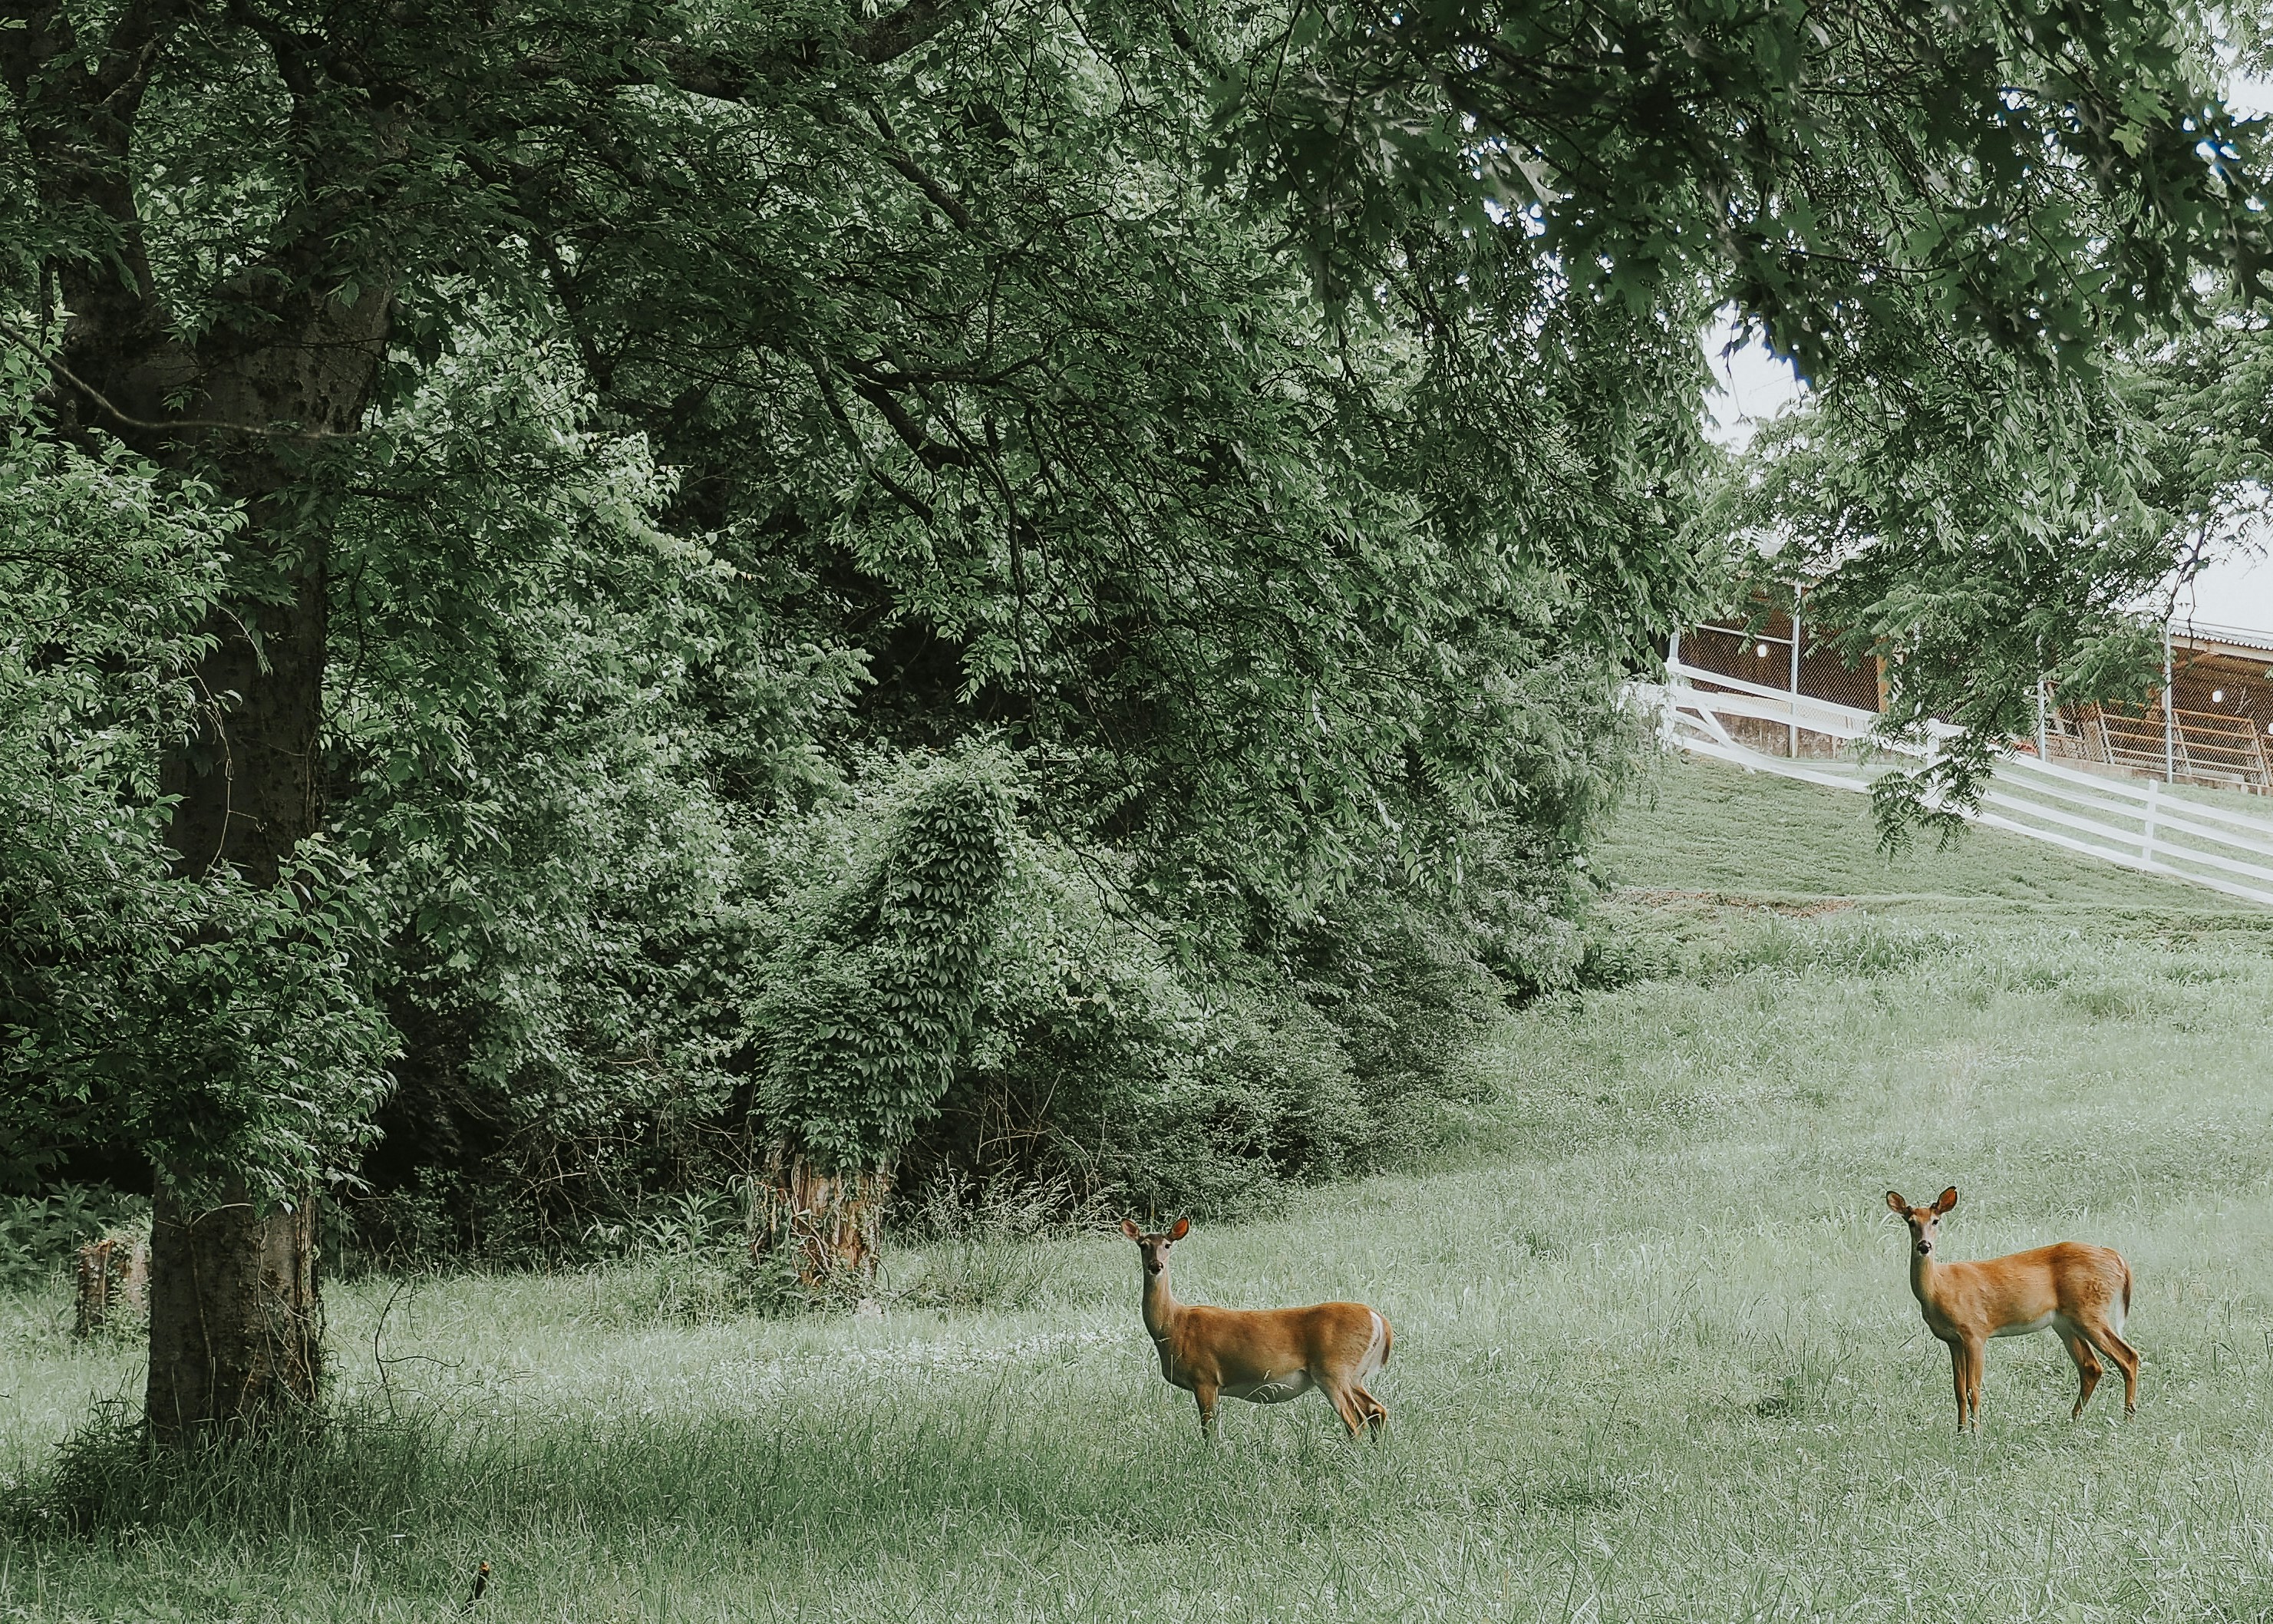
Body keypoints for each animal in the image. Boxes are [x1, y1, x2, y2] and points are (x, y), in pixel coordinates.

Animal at [1119, 1217, 1391, 1438]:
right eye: (1143, 1245)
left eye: (1168, 1245)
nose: (1156, 1266)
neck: (1173, 1326)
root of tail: (1378, 1318)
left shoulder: (1204, 1377)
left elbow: (1209, 1433)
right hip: (1354, 1374)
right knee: (1376, 1410)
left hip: (1333, 1369)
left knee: (1356, 1421)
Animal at [1885, 1187, 2138, 1431]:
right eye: (1911, 1222)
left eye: (1936, 1221)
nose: (1924, 1246)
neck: (1940, 1288)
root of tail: (2116, 1258)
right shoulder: (1953, 1341)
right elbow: (1959, 1391)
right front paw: (1960, 1432)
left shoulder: (1975, 1332)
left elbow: (1973, 1389)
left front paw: (1976, 1435)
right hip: (2065, 1322)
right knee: (2091, 1367)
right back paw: (2072, 1420)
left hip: (2090, 1311)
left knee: (2128, 1356)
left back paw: (2128, 1418)